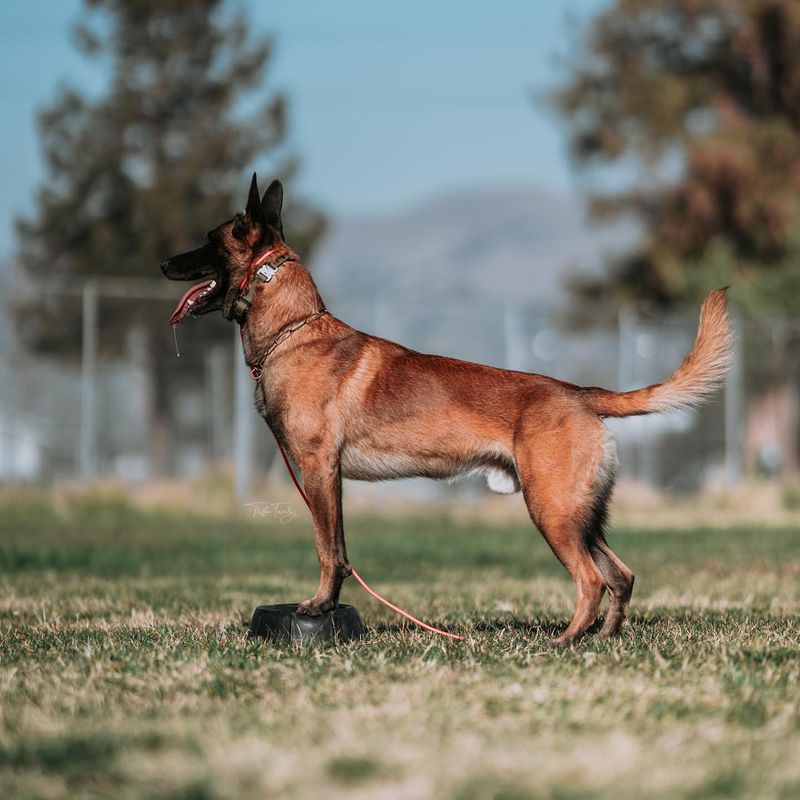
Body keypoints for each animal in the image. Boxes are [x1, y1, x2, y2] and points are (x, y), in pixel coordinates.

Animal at [161, 175, 732, 644]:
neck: (293, 330)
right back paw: (603, 639)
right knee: (621, 576)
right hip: (581, 516)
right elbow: (340, 550)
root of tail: (578, 391)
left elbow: (327, 549)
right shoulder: (329, 477)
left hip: (552, 511)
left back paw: (565, 641)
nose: (163, 263)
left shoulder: (319, 471)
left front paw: (320, 606)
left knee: (591, 580)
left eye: (209, 240)